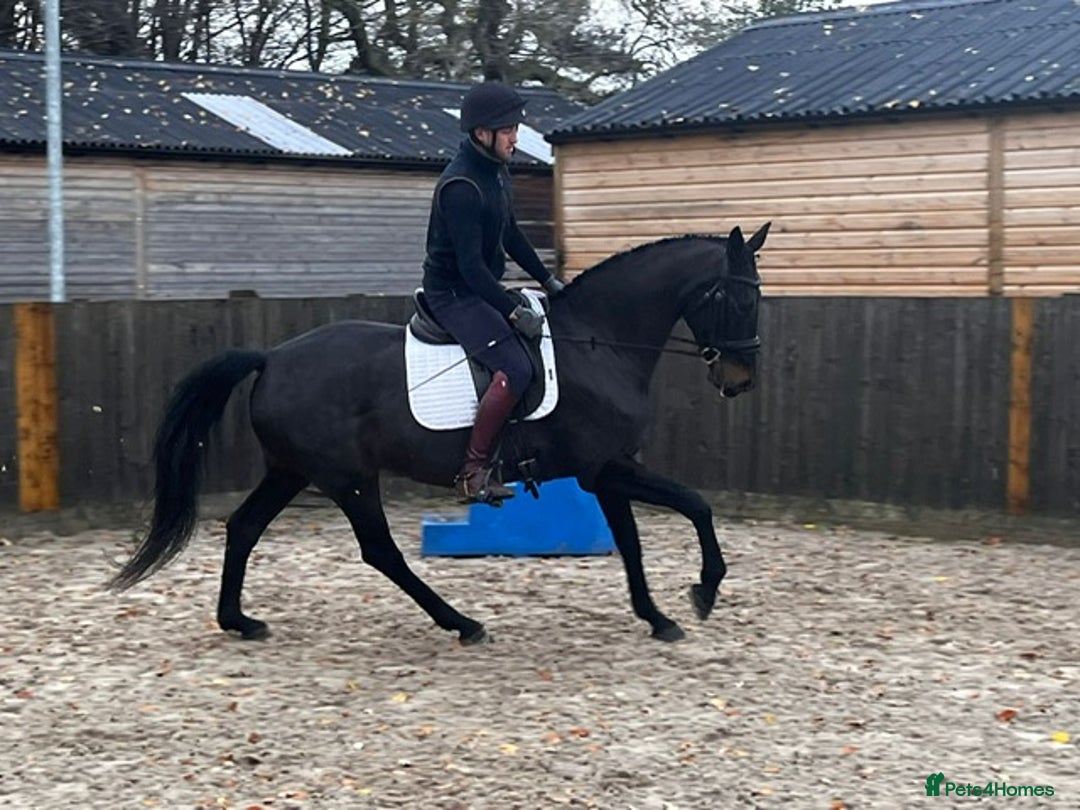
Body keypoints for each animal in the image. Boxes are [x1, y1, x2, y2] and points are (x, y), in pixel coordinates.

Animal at [109, 223, 770, 644]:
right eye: (738, 299)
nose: (739, 380)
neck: (599, 341)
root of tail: (270, 357)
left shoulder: (606, 472)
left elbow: (633, 543)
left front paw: (657, 617)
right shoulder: (606, 468)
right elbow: (696, 504)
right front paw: (705, 590)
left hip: (292, 470)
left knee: (244, 527)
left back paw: (239, 622)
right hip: (349, 479)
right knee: (380, 552)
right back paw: (463, 623)